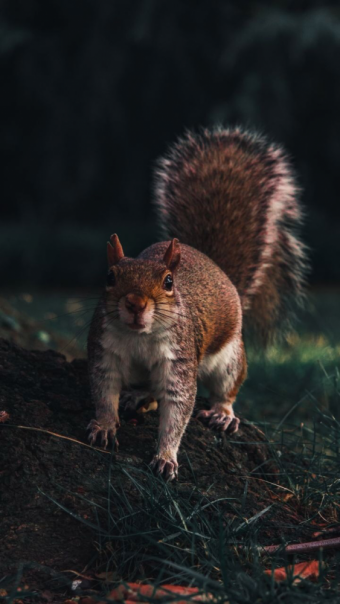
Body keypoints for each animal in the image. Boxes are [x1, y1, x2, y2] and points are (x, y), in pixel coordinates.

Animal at [86, 126, 306, 482]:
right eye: (109, 276)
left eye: (168, 283)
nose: (135, 303)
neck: (139, 337)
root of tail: (217, 269)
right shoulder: (103, 351)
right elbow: (104, 392)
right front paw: (105, 426)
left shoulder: (180, 360)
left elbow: (178, 409)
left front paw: (166, 456)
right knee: (149, 390)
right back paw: (139, 396)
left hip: (229, 357)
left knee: (227, 387)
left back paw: (222, 413)